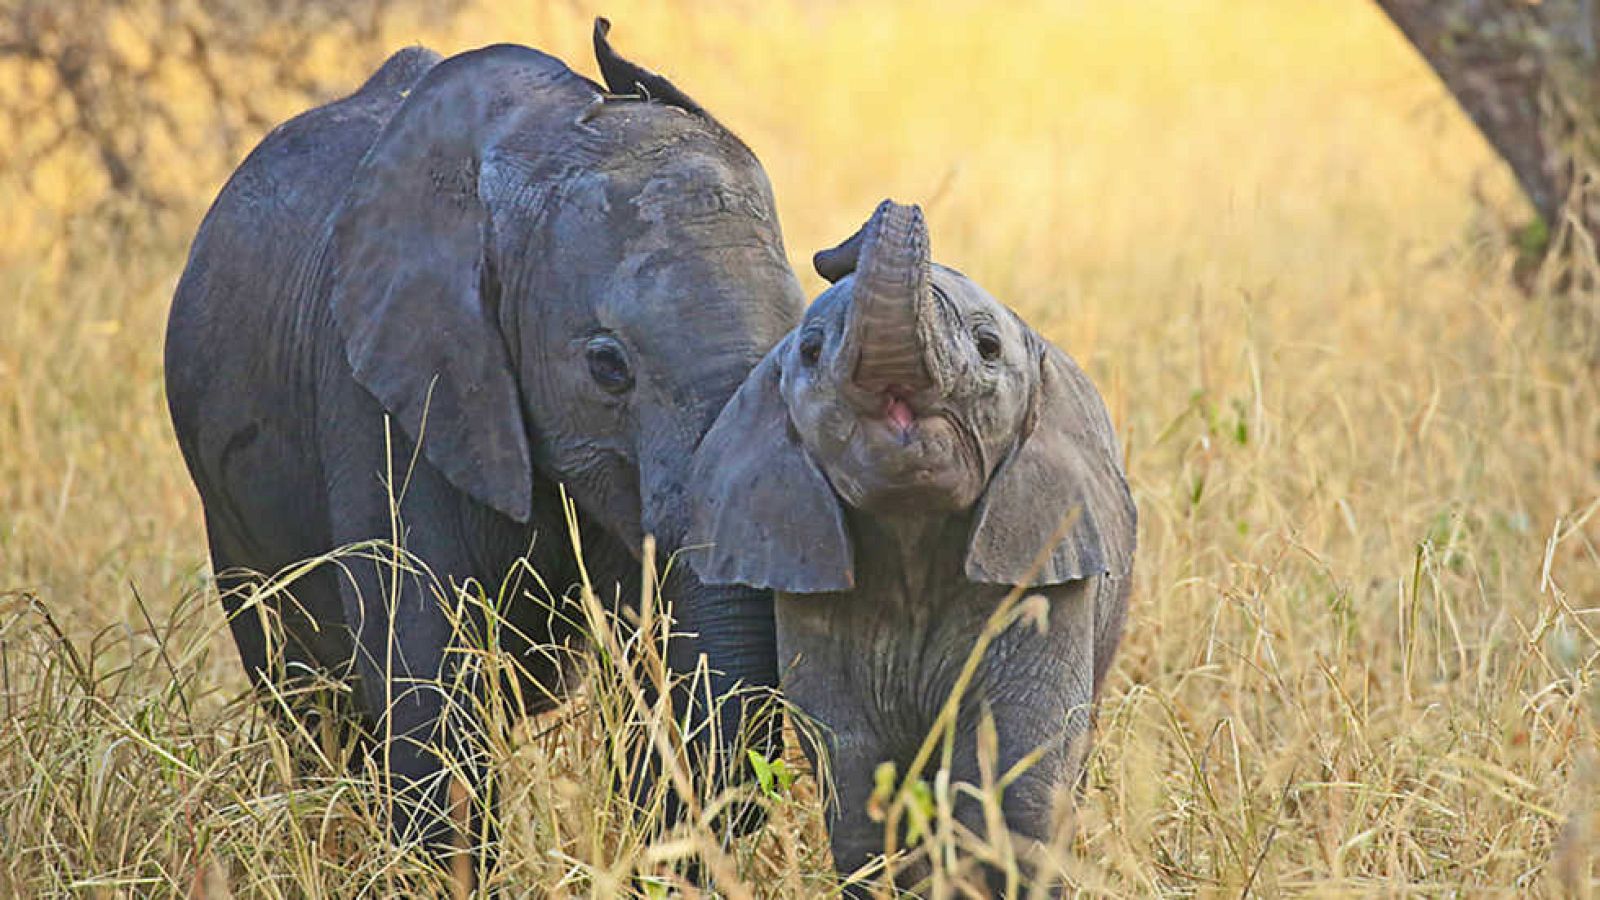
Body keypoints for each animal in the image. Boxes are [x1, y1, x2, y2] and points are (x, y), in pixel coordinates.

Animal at [689, 200, 1136, 892]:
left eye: (988, 347)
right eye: (810, 350)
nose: (832, 254)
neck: (913, 526)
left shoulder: (1038, 561)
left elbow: (1015, 771)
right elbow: (858, 774)